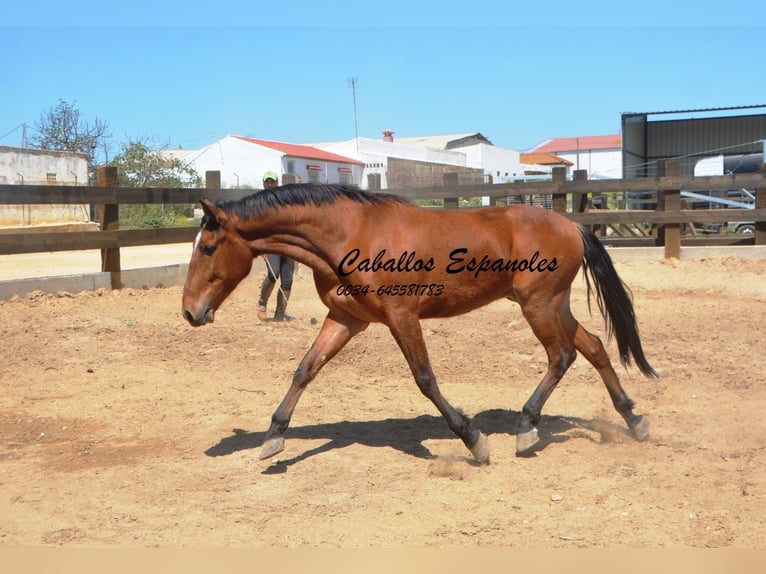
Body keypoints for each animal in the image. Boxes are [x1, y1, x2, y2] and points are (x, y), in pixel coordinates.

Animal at [183, 184, 656, 464]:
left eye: (208, 247)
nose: (190, 311)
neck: (350, 235)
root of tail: (573, 226)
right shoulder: (346, 319)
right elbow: (305, 369)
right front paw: (273, 437)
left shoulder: (402, 316)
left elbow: (425, 379)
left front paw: (474, 441)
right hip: (554, 304)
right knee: (593, 347)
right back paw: (633, 420)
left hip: (538, 305)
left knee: (563, 354)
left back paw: (526, 429)